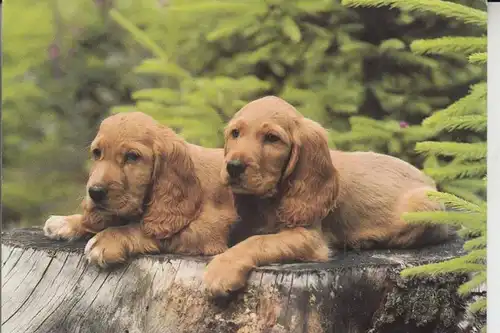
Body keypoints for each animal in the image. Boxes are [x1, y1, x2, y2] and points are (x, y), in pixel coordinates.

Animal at [43, 111, 238, 264]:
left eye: (132, 156)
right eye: (97, 153)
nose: (95, 193)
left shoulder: (210, 229)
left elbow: (146, 230)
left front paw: (106, 240)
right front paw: (67, 222)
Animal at [203, 95, 454, 296]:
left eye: (272, 138)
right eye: (235, 133)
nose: (233, 167)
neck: (269, 200)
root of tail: (428, 179)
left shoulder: (309, 236)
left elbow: (258, 241)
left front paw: (221, 269)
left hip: (424, 205)